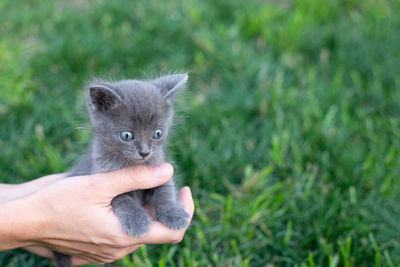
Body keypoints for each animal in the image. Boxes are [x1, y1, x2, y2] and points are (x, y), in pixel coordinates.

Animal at [53, 74, 189, 267]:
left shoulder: (159, 168)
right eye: (126, 135)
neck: (133, 165)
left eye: (157, 133)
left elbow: (165, 189)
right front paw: (136, 220)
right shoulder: (104, 177)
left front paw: (173, 213)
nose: (145, 152)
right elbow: (123, 198)